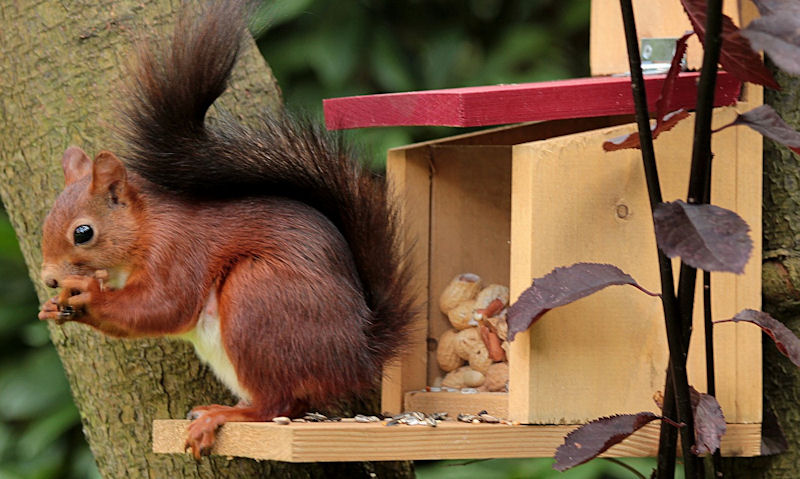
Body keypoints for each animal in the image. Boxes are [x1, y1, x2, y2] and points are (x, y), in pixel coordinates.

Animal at [36, 1, 412, 460]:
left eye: (83, 233)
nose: (49, 279)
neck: (144, 228)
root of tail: (358, 354)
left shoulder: (178, 251)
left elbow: (164, 306)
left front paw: (88, 294)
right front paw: (53, 308)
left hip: (259, 298)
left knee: (277, 405)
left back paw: (227, 415)